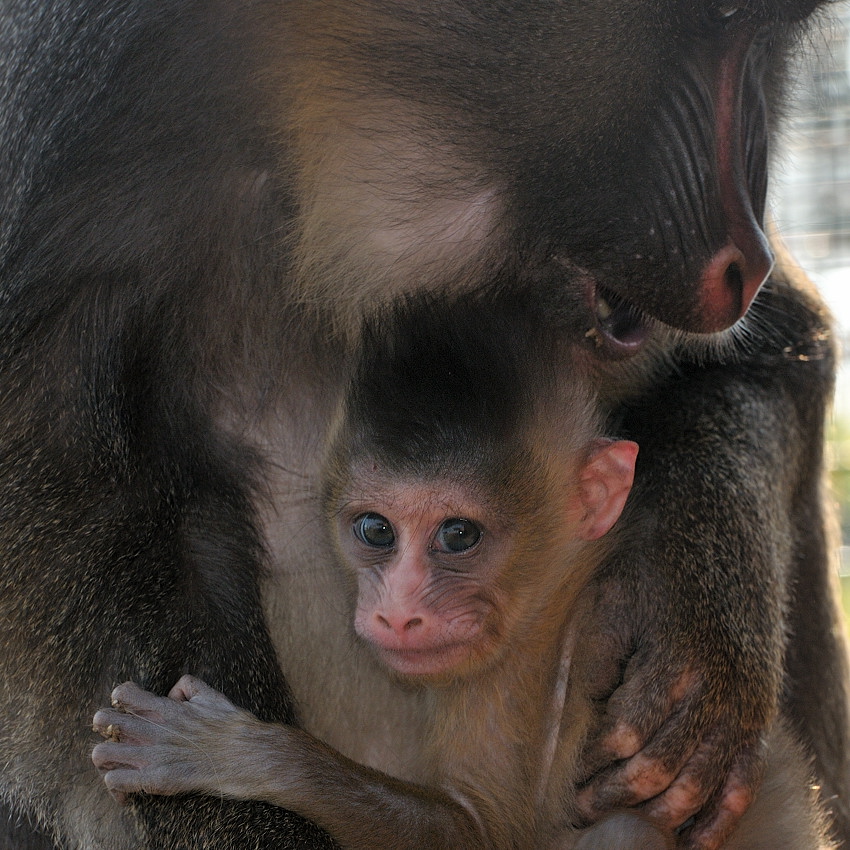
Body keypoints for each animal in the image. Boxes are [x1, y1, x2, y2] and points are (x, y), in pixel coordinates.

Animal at [93, 296, 828, 848]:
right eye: (375, 529)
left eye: (459, 535)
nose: (397, 611)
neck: (561, 578)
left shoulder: (512, 677)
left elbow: (478, 833)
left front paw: (241, 755)